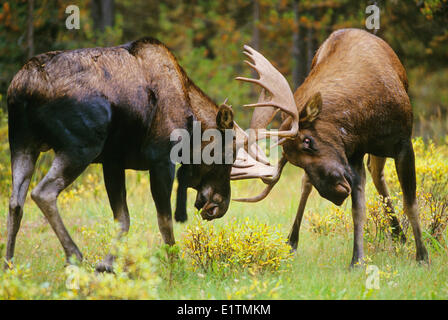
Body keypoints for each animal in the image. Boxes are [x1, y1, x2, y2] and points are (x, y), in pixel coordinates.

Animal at [6, 38, 252, 272]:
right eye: (230, 151)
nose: (221, 205)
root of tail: (24, 88)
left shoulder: (113, 162)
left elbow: (122, 219)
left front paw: (106, 265)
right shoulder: (161, 159)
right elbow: (164, 221)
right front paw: (175, 267)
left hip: (22, 143)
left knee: (15, 203)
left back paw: (9, 265)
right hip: (80, 147)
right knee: (43, 192)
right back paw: (74, 255)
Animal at [233, 28, 428, 268]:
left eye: (308, 141)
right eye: (296, 162)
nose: (334, 192)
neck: (362, 121)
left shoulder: (402, 143)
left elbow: (410, 203)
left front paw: (422, 256)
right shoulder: (353, 155)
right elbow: (358, 209)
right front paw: (357, 260)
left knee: (378, 173)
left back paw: (399, 234)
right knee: (308, 185)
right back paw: (292, 240)